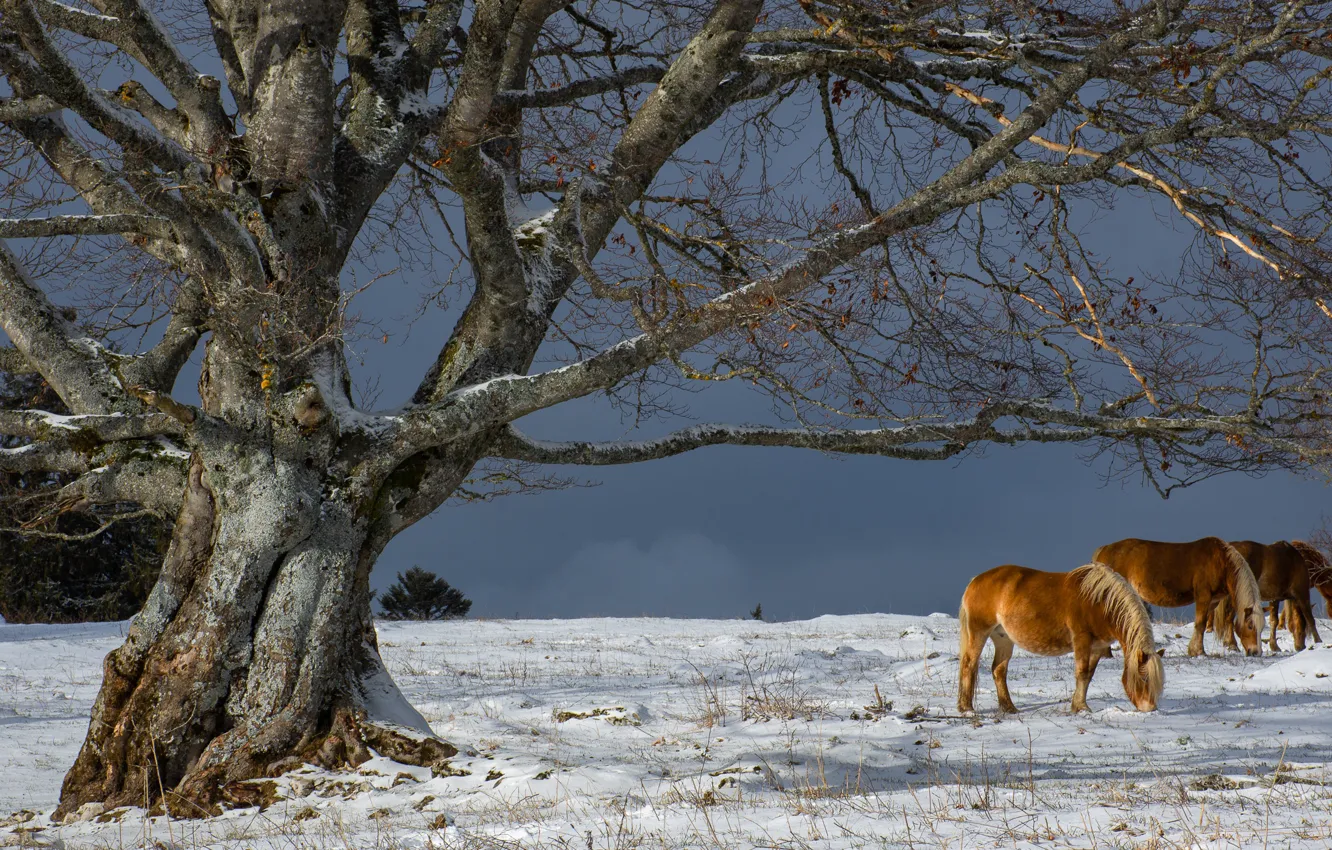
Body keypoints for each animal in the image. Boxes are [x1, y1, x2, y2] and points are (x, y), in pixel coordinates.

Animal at [957, 563, 1165, 714]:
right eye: (1144, 678)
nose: (1150, 709)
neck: (1100, 602)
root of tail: (975, 580)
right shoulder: (1082, 639)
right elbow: (1081, 673)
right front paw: (1081, 708)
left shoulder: (1098, 647)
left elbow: (1089, 675)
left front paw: (1077, 705)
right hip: (979, 632)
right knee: (969, 664)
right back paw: (966, 708)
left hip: (1003, 638)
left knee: (998, 670)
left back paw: (1009, 708)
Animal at [1092, 537, 1262, 657]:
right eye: (1250, 626)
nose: (1256, 652)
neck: (1220, 561)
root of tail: (1104, 549)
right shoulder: (1203, 596)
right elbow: (1200, 624)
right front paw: (1198, 652)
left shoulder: (1213, 601)